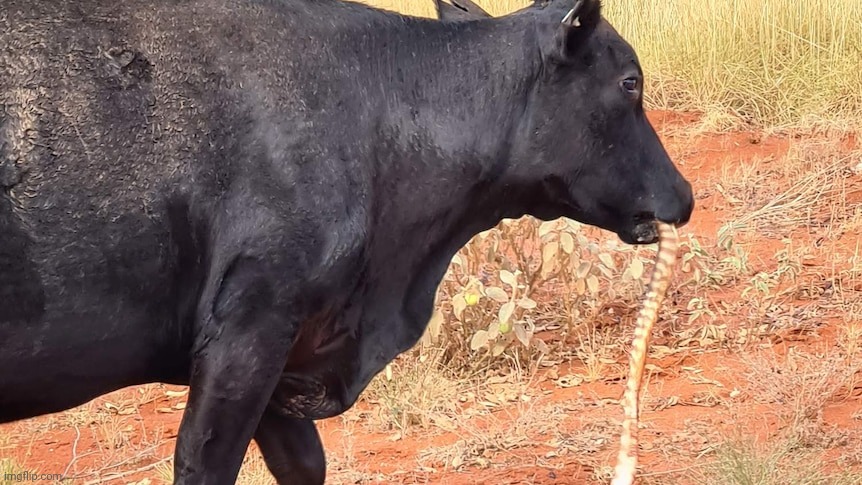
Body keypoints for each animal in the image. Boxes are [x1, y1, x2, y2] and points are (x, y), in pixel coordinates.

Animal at [0, 0, 694, 482]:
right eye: (630, 82)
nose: (684, 196)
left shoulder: (284, 358)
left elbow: (306, 465)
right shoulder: (250, 328)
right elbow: (203, 464)